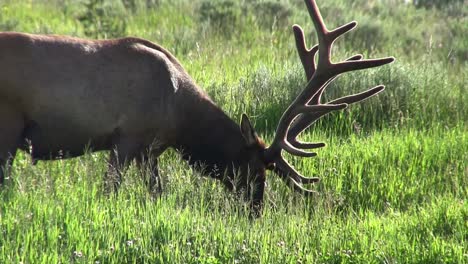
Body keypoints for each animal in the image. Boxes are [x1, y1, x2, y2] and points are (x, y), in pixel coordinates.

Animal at [0, 0, 394, 216]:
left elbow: (157, 192)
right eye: (254, 171)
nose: (256, 212)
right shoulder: (126, 137)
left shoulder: (151, 150)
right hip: (9, 125)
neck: (180, 116)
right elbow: (110, 190)